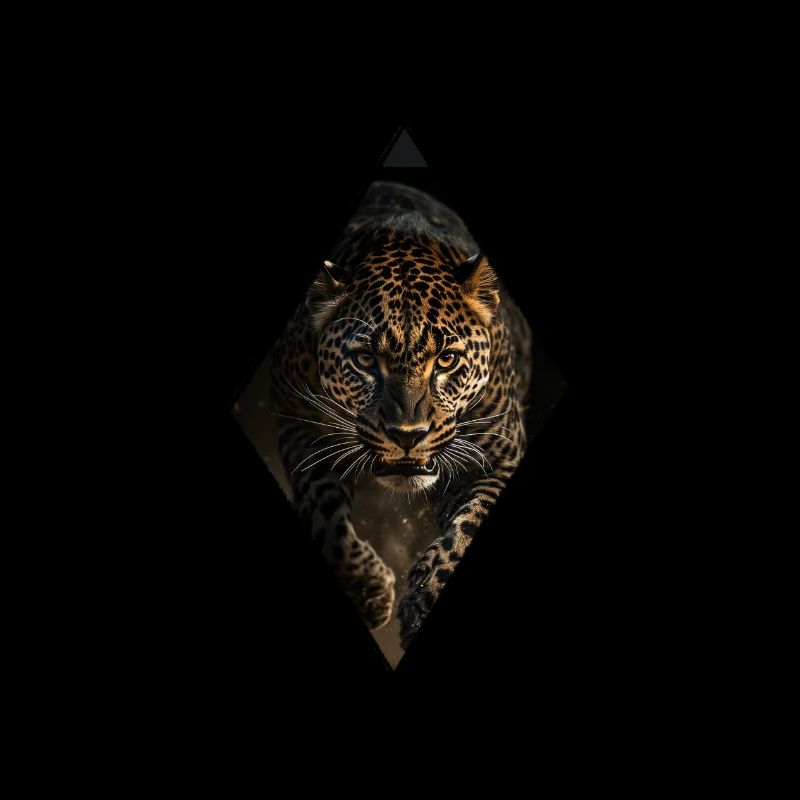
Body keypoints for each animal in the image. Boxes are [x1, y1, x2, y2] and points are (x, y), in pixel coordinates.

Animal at [265, 181, 532, 649]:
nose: (407, 435)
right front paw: (368, 590)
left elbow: (470, 523)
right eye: (366, 360)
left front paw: (424, 601)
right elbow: (324, 512)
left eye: (446, 360)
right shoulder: (299, 427)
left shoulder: (503, 454)